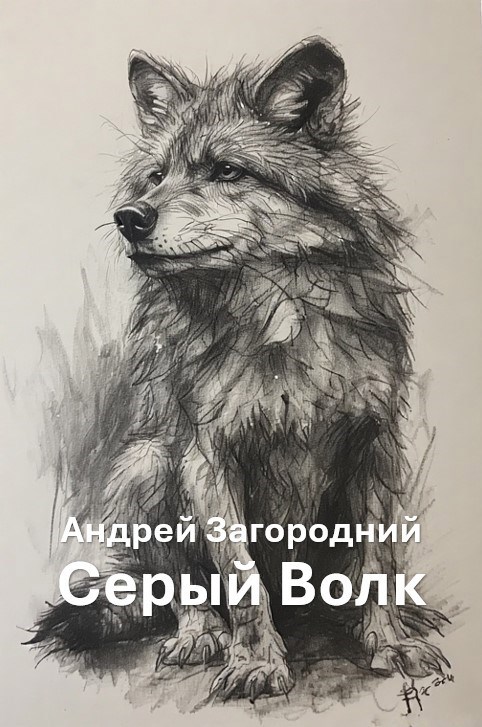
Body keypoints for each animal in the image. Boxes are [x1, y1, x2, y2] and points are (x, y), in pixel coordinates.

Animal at [31, 37, 449, 700]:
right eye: (157, 177)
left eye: (226, 171)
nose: (130, 217)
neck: (279, 318)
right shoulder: (207, 458)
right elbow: (241, 578)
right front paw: (257, 663)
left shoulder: (375, 444)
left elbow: (380, 564)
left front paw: (392, 643)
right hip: (145, 466)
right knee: (178, 588)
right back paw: (202, 635)